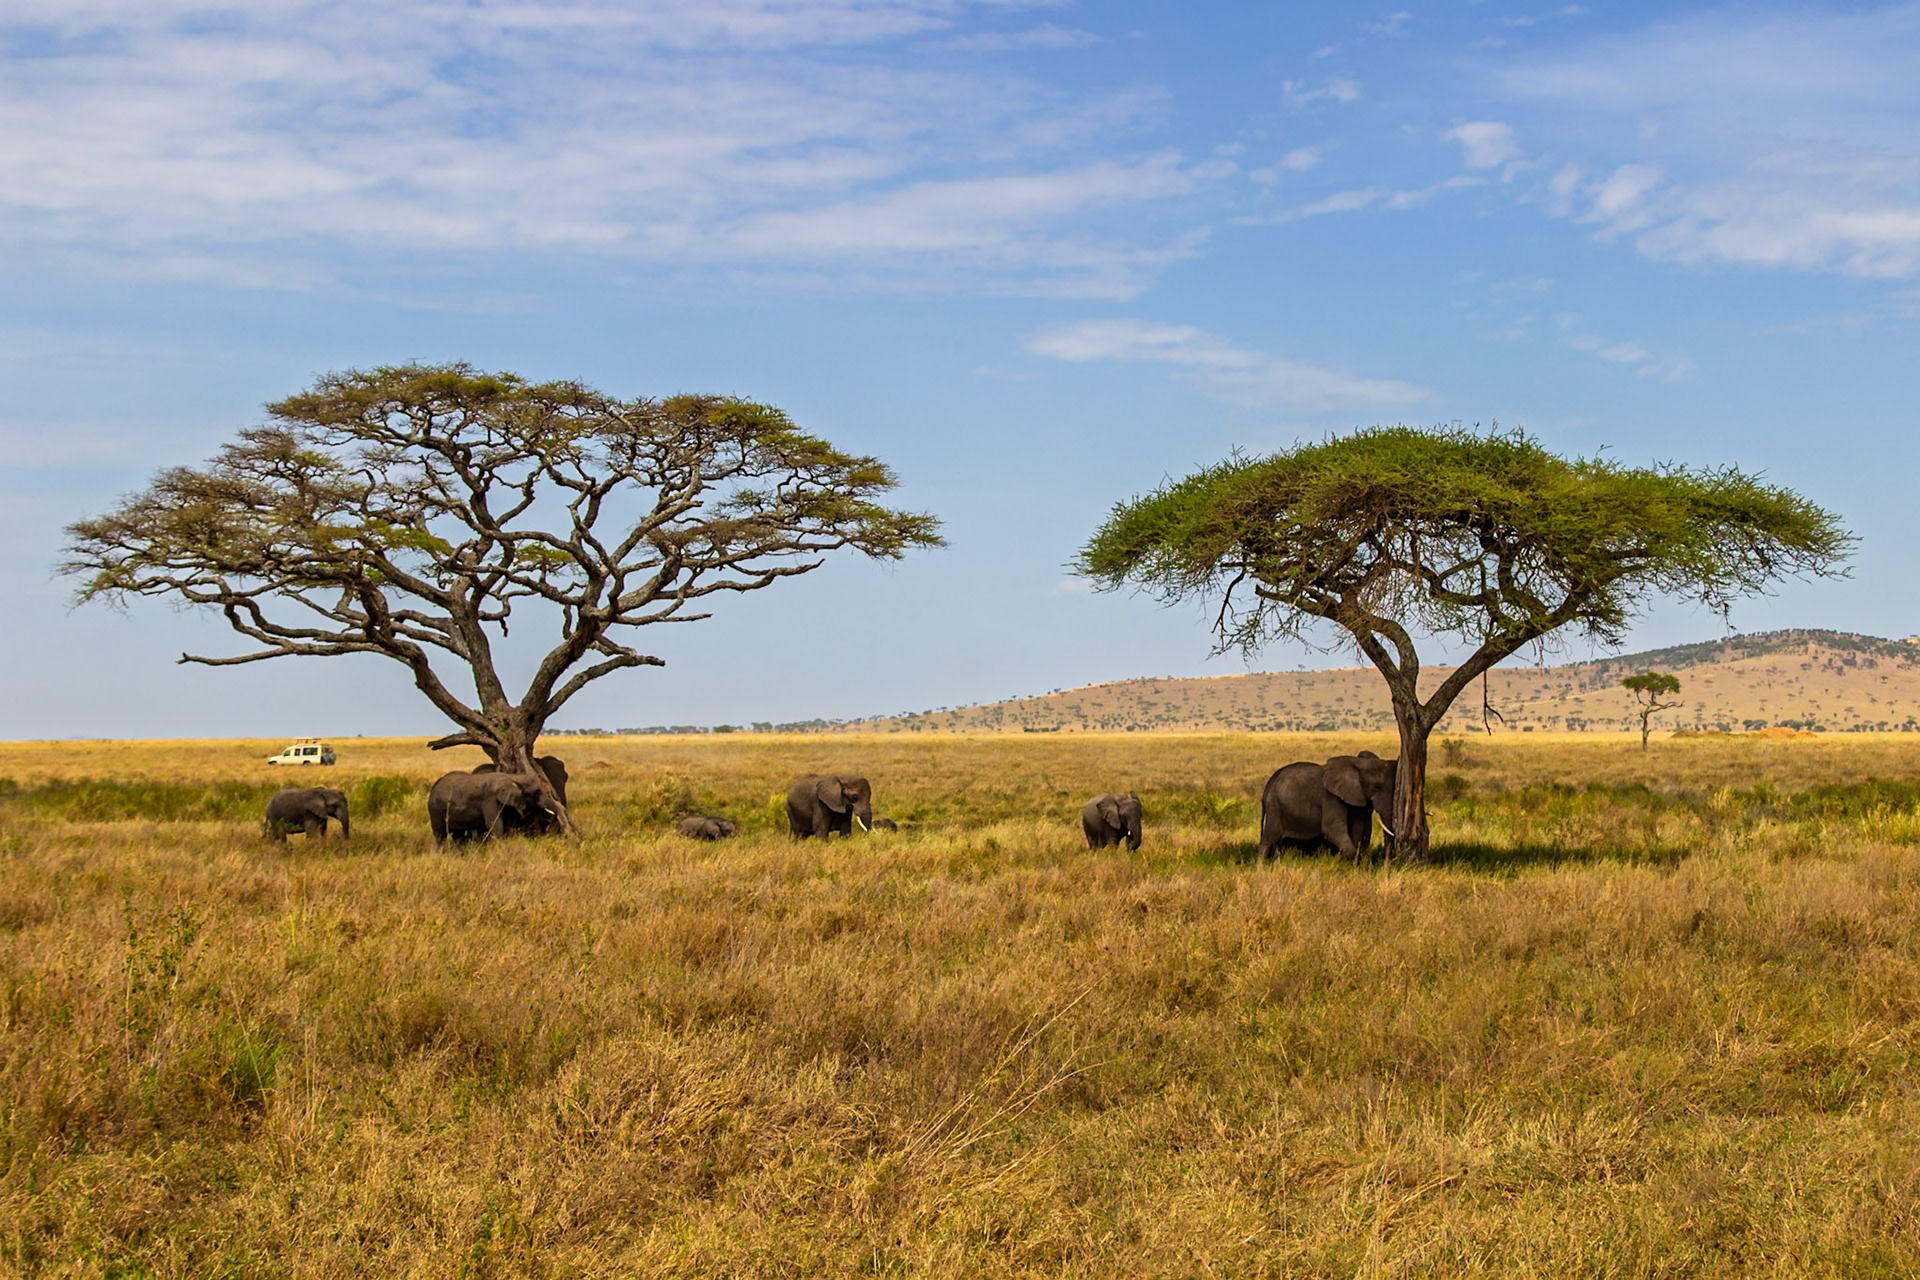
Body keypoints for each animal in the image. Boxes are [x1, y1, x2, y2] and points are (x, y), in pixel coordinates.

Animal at [428, 770, 562, 844]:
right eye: (536, 792)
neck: (512, 777)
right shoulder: (490, 799)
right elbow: (495, 825)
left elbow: (507, 825)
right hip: (435, 808)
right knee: (440, 835)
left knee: (458, 836)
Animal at [1258, 751, 1398, 861]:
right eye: (1376, 787)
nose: (1387, 863)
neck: (1358, 763)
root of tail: (1270, 783)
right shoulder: (1330, 797)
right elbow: (1332, 828)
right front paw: (1341, 860)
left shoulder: (1358, 799)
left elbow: (1357, 828)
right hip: (1275, 806)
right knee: (1269, 838)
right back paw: (1262, 867)